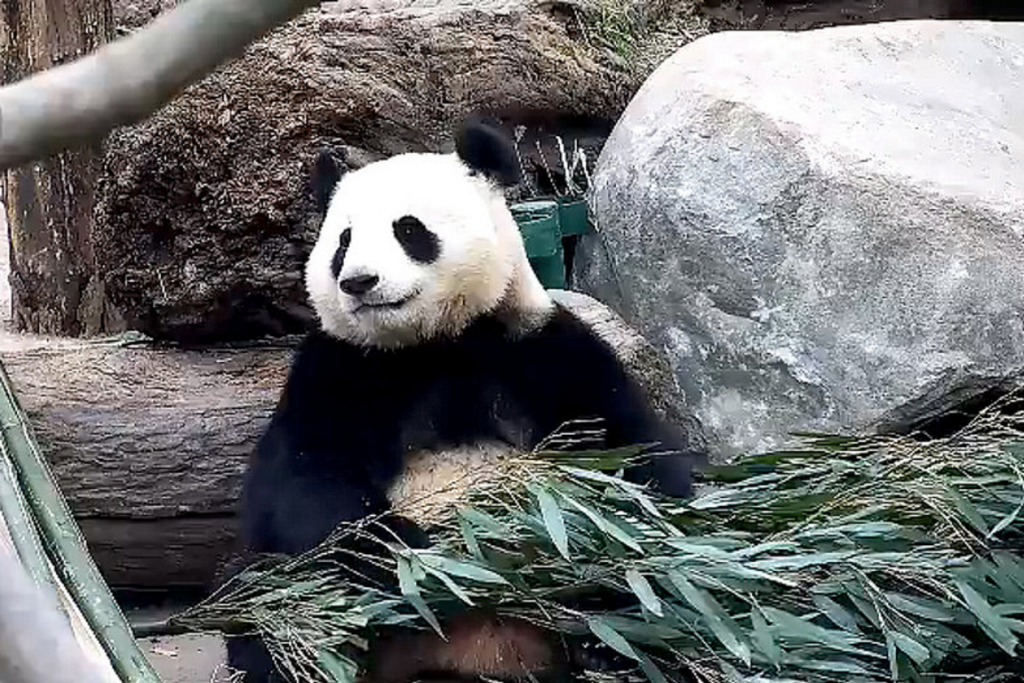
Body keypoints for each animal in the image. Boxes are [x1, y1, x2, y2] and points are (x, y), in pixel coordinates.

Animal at [227, 116, 704, 683]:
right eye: (343, 240)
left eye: (408, 230)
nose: (358, 281)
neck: (432, 341)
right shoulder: (344, 367)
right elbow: (310, 476)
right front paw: (409, 551)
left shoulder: (532, 346)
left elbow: (625, 446)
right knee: (267, 603)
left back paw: (607, 648)